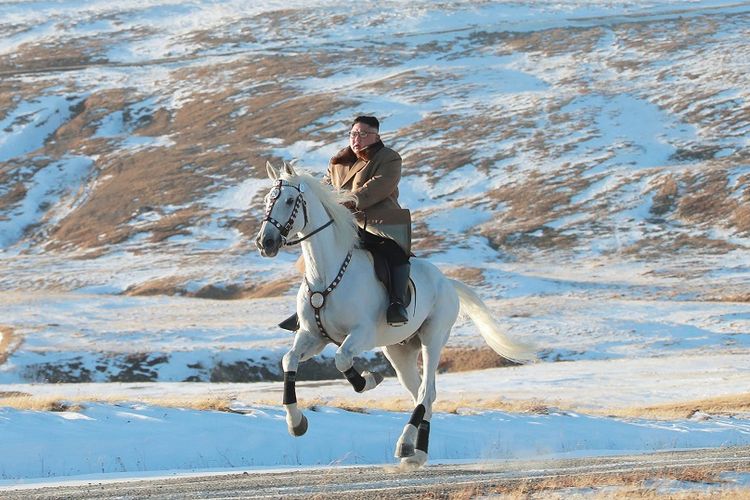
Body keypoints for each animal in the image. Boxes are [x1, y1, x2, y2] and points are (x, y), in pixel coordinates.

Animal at [256, 161, 536, 468]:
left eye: (290, 200)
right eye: (268, 200)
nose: (265, 242)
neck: (326, 274)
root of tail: (447, 282)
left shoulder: (361, 334)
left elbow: (342, 359)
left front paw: (368, 380)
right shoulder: (313, 336)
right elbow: (289, 360)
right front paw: (296, 423)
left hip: (432, 339)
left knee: (426, 392)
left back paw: (405, 445)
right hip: (399, 351)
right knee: (422, 395)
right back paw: (417, 452)